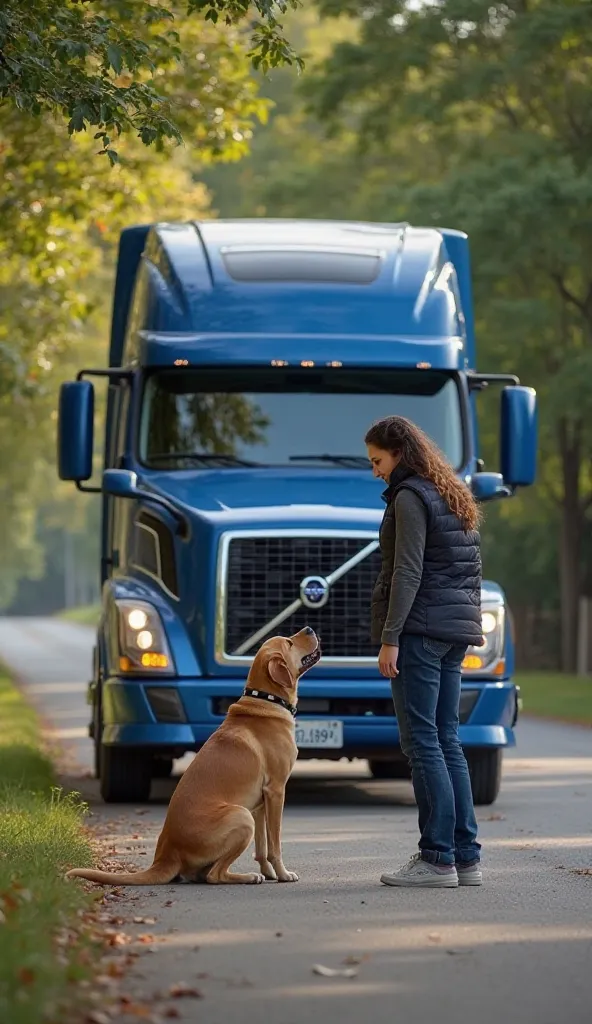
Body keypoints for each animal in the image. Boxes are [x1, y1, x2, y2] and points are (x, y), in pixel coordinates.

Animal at [66, 626, 319, 884]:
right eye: (289, 642)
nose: (309, 629)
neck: (266, 701)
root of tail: (166, 855)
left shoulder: (260, 804)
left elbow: (262, 848)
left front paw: (269, 873)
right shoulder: (276, 791)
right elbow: (274, 844)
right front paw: (283, 874)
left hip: (246, 815)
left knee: (206, 873)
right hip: (241, 816)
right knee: (215, 875)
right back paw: (246, 876)